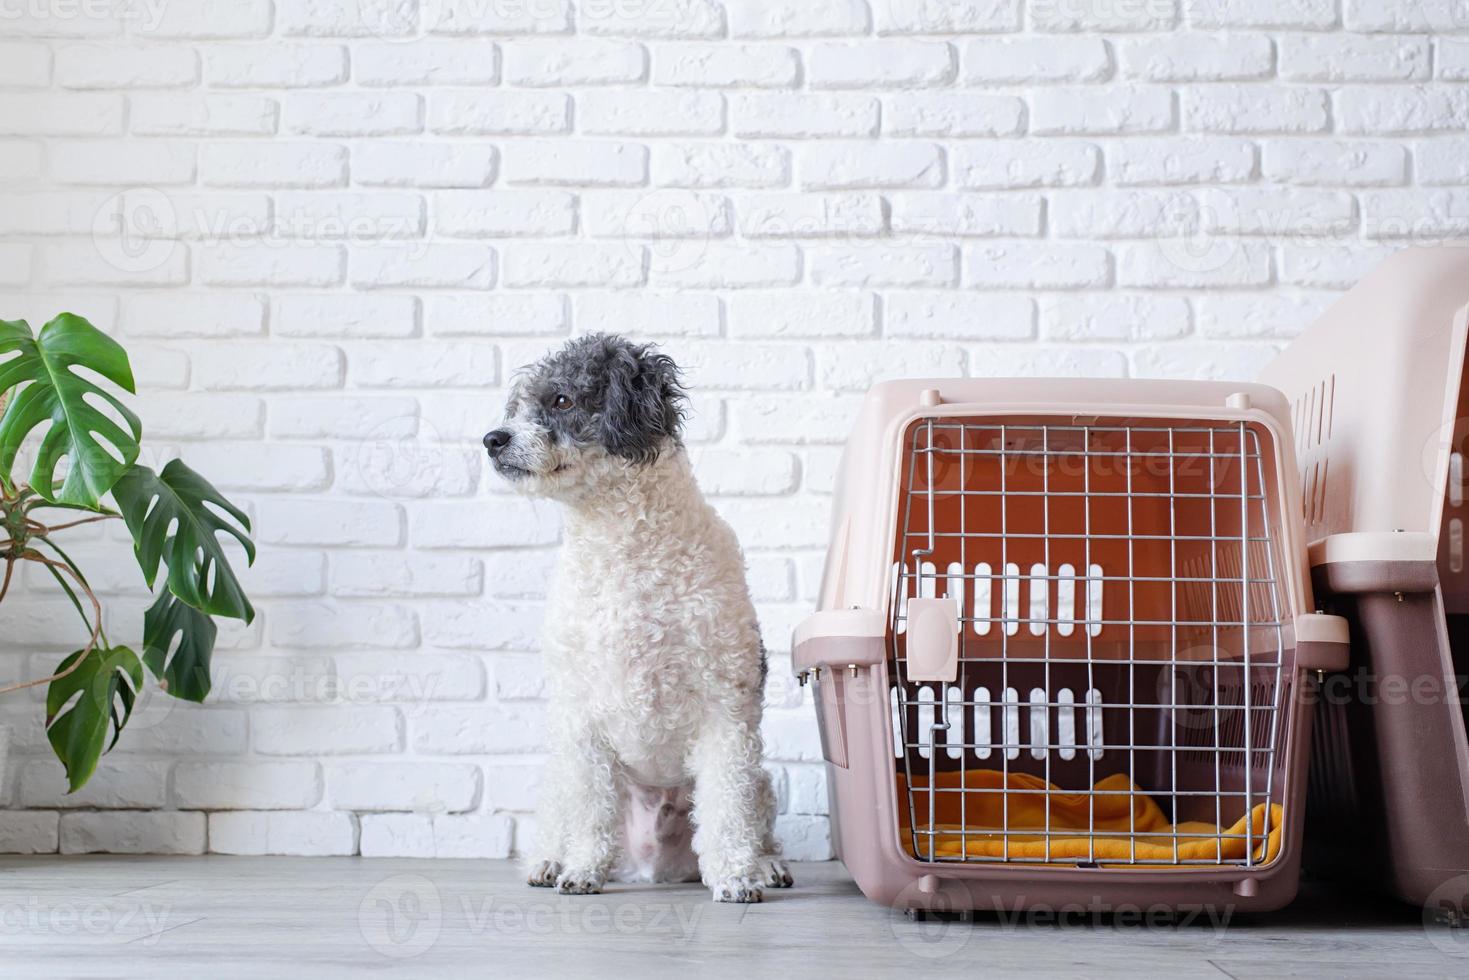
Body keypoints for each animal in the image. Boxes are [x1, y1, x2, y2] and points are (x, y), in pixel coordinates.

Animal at [484, 334, 793, 905]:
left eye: (562, 400)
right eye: (516, 406)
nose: (493, 438)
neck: (627, 553)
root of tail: (650, 867)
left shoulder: (725, 710)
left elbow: (726, 809)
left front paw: (736, 876)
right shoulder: (580, 718)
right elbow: (589, 812)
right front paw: (581, 870)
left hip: (760, 781)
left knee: (752, 818)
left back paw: (766, 864)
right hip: (561, 773)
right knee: (560, 820)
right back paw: (549, 862)